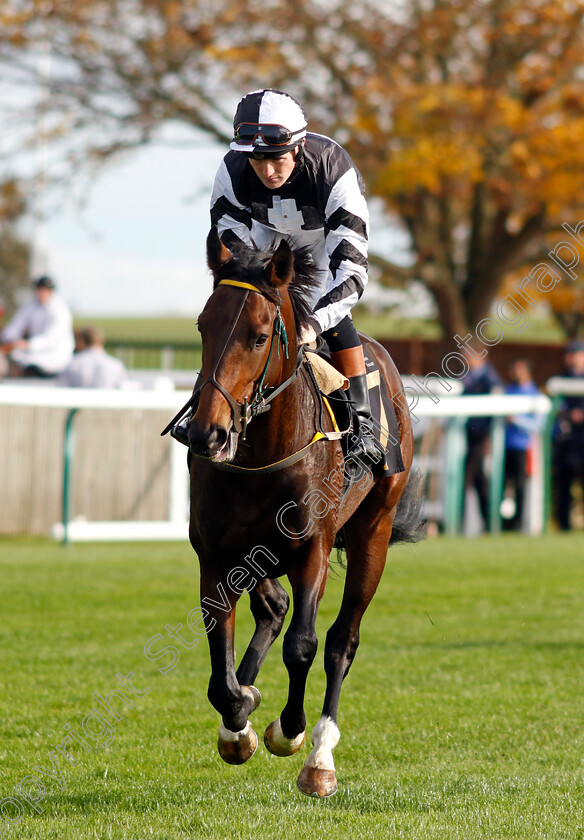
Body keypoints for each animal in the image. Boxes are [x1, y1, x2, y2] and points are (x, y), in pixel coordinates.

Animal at [189, 226, 422, 796]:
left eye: (258, 336)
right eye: (203, 325)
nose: (208, 433)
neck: (261, 456)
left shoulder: (312, 547)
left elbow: (304, 644)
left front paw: (288, 731)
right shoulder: (215, 555)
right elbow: (220, 670)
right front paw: (239, 722)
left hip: (373, 533)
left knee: (342, 640)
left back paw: (320, 756)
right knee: (272, 608)